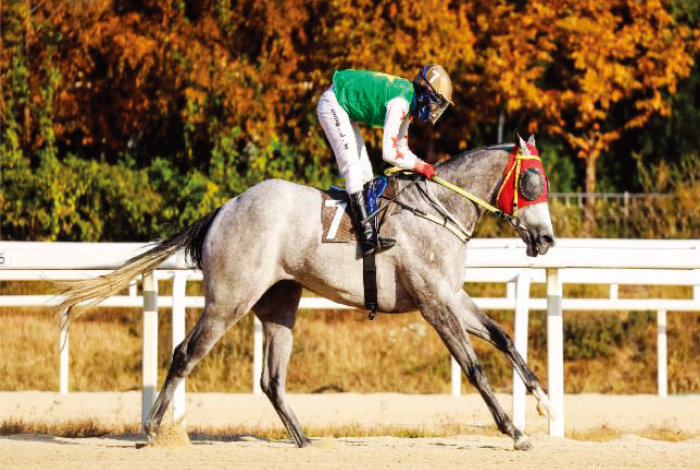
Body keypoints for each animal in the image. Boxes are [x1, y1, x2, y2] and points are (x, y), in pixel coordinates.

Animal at [57, 134, 556, 450]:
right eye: (532, 181)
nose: (547, 240)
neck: (439, 210)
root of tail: (224, 208)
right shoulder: (433, 304)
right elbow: (473, 366)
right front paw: (514, 431)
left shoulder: (452, 295)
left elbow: (504, 339)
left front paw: (546, 405)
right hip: (229, 300)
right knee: (184, 354)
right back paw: (152, 430)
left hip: (280, 303)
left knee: (271, 379)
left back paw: (303, 437)